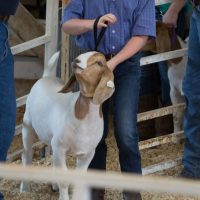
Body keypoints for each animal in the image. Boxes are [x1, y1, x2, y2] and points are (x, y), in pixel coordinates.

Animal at [19, 51, 115, 200]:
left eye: (99, 62)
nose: (76, 60)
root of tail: (46, 77)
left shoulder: (87, 153)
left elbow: (79, 180)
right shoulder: (60, 147)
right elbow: (64, 180)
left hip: (51, 139)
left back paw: (53, 186)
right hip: (27, 124)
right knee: (26, 154)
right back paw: (24, 189)